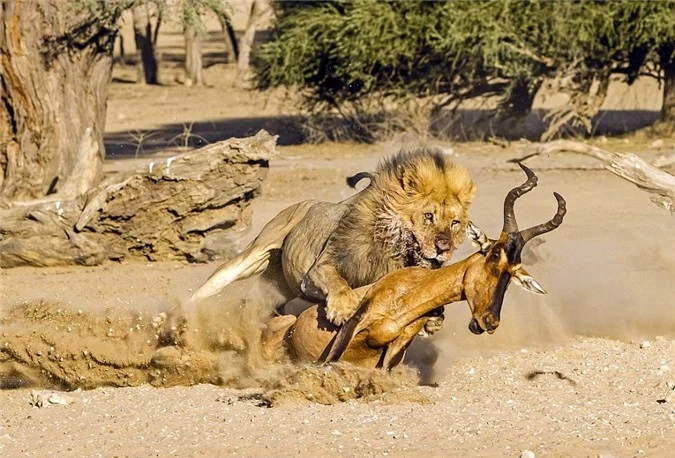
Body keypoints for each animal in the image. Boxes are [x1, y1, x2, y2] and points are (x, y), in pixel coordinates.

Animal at [182, 147, 478, 344]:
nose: (443, 247)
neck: (391, 251)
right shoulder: (317, 271)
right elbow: (338, 282)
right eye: (428, 217)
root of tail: (306, 203)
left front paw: (434, 320)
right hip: (252, 256)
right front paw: (343, 308)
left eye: (455, 223)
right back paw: (179, 315)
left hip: (278, 287)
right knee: (209, 287)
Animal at [262, 163, 568, 370]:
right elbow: (329, 364)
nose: (489, 321)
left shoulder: (396, 350)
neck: (408, 293)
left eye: (514, 272)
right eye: (494, 254)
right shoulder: (353, 324)